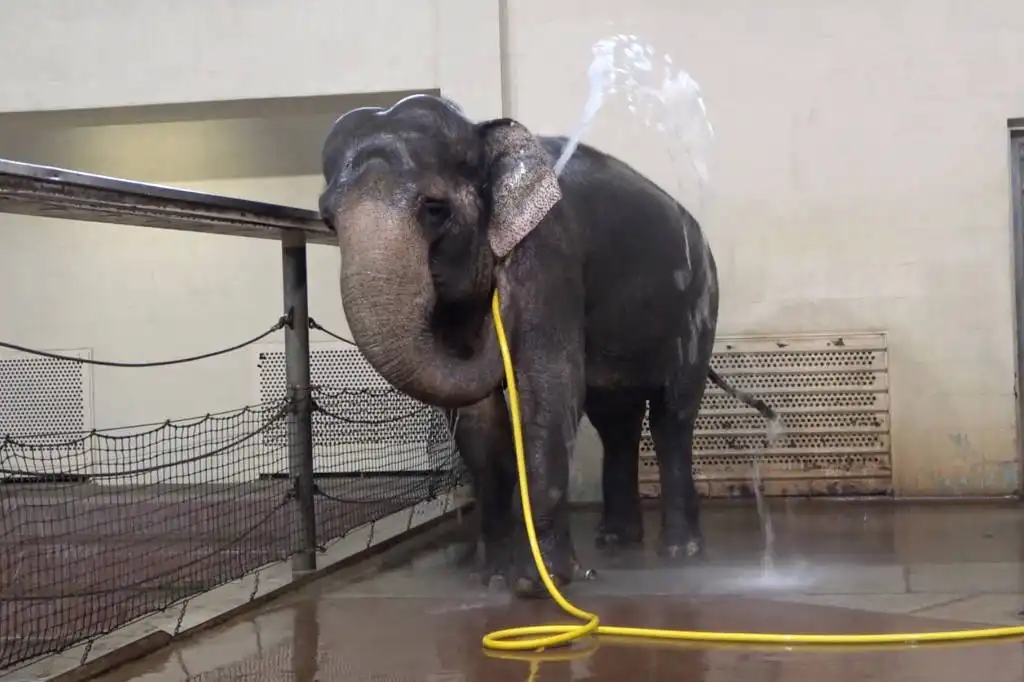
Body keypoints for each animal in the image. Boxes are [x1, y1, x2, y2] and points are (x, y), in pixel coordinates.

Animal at [318, 94, 780, 598]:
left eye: (434, 209)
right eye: (327, 220)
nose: (495, 310)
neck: (485, 134)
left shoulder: (549, 250)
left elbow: (548, 384)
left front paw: (538, 584)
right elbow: (478, 416)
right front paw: (494, 579)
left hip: (700, 303)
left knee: (671, 415)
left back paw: (680, 552)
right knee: (615, 420)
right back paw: (617, 542)